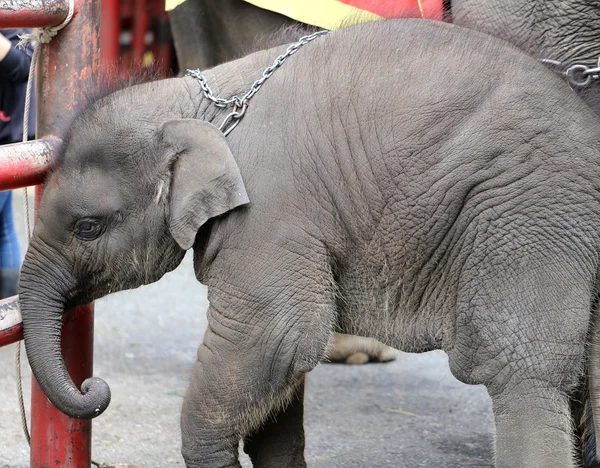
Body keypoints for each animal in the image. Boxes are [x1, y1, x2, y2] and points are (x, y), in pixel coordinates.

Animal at [16, 18, 600, 468]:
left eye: (87, 228)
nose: (95, 388)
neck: (198, 102)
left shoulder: (269, 214)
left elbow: (277, 334)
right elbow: (282, 372)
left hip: (526, 215)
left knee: (519, 371)